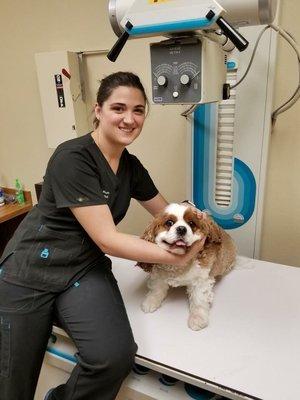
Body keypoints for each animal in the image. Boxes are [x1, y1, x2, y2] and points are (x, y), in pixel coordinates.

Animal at [137, 203, 237, 332]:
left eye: (191, 223)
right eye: (169, 222)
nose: (181, 229)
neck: (178, 264)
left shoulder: (201, 281)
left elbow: (199, 300)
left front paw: (197, 318)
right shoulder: (159, 274)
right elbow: (156, 289)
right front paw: (151, 301)